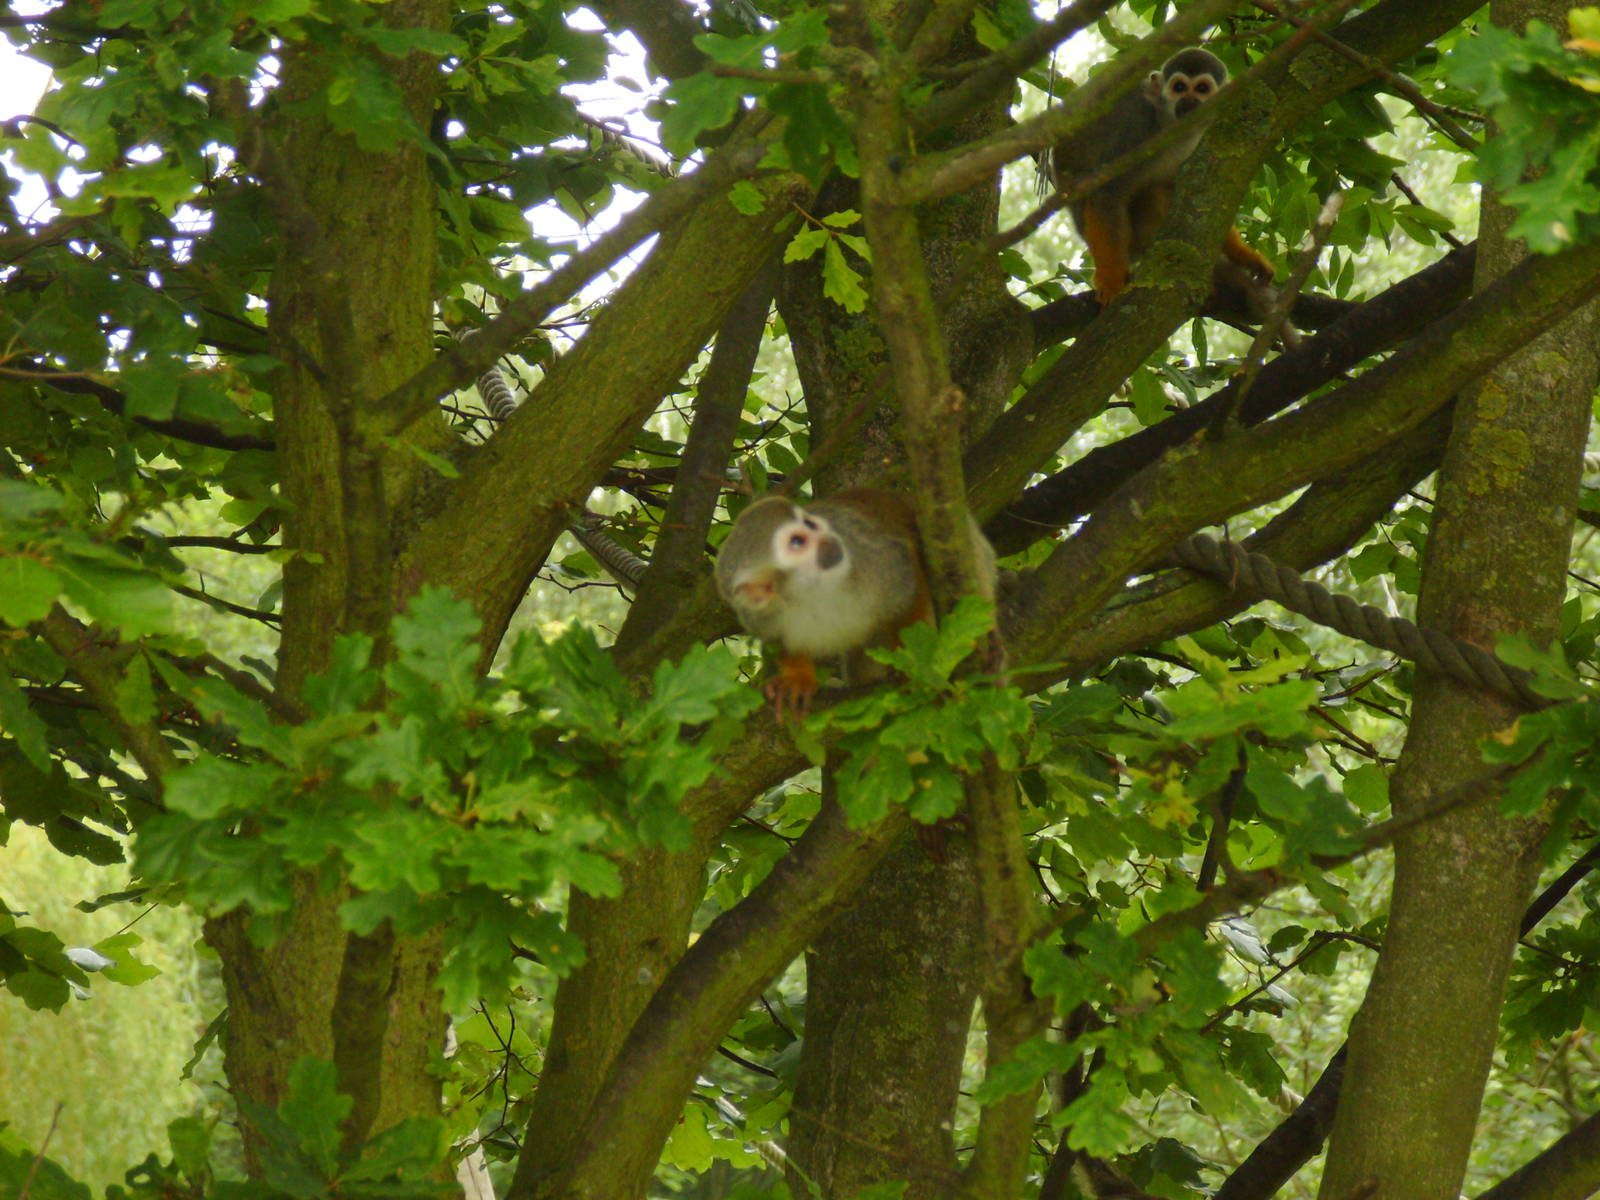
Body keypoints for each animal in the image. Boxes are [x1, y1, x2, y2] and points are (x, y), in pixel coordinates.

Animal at [714, 487, 996, 716]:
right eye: (797, 541)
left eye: (811, 524)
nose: (828, 538)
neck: (810, 591)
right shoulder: (756, 614)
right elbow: (779, 642)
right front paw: (797, 678)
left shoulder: (871, 557)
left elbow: (908, 585)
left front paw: (912, 662)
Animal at [1047, 47, 1279, 310]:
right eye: (1179, 87)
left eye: (1201, 89)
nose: (1188, 101)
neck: (1167, 123)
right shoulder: (1136, 126)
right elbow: (1107, 194)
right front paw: (1112, 282)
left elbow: (1199, 198)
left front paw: (1244, 255)